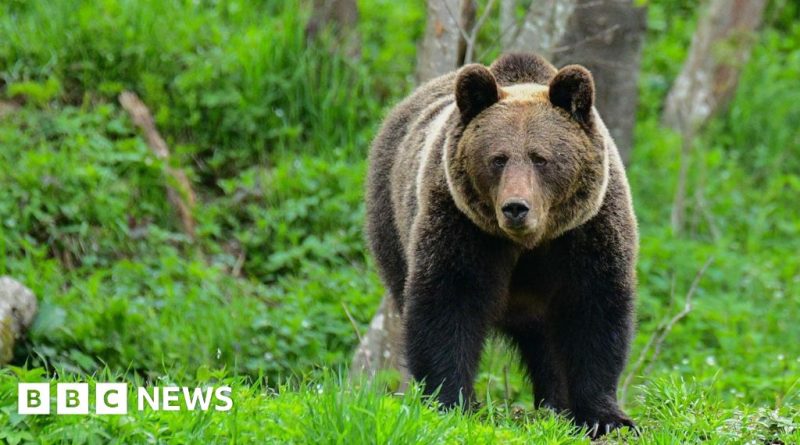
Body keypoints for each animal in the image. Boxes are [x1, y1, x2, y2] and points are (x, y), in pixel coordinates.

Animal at [365, 53, 638, 437]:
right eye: (498, 158)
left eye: (540, 158)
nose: (516, 207)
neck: (529, 241)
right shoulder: (462, 226)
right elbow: (447, 305)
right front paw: (452, 402)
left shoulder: (585, 231)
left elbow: (593, 311)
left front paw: (605, 417)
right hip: (391, 221)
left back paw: (556, 404)